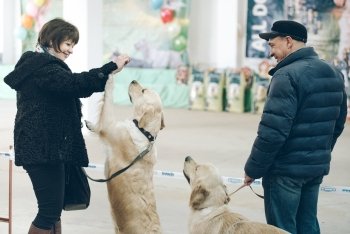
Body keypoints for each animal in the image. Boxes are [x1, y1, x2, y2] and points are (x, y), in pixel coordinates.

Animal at [86, 76, 165, 233]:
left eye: (143, 90)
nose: (133, 80)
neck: (144, 132)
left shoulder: (109, 127)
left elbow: (108, 99)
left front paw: (110, 80)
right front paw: (90, 125)